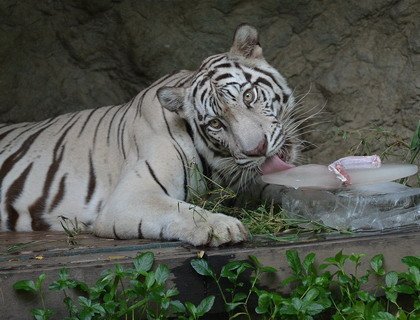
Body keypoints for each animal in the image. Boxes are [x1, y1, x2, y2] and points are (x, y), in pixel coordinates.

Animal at [0, 25, 302, 246]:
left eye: (248, 96)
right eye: (216, 123)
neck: (219, 168)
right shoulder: (129, 196)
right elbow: (179, 209)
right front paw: (222, 226)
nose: (257, 149)